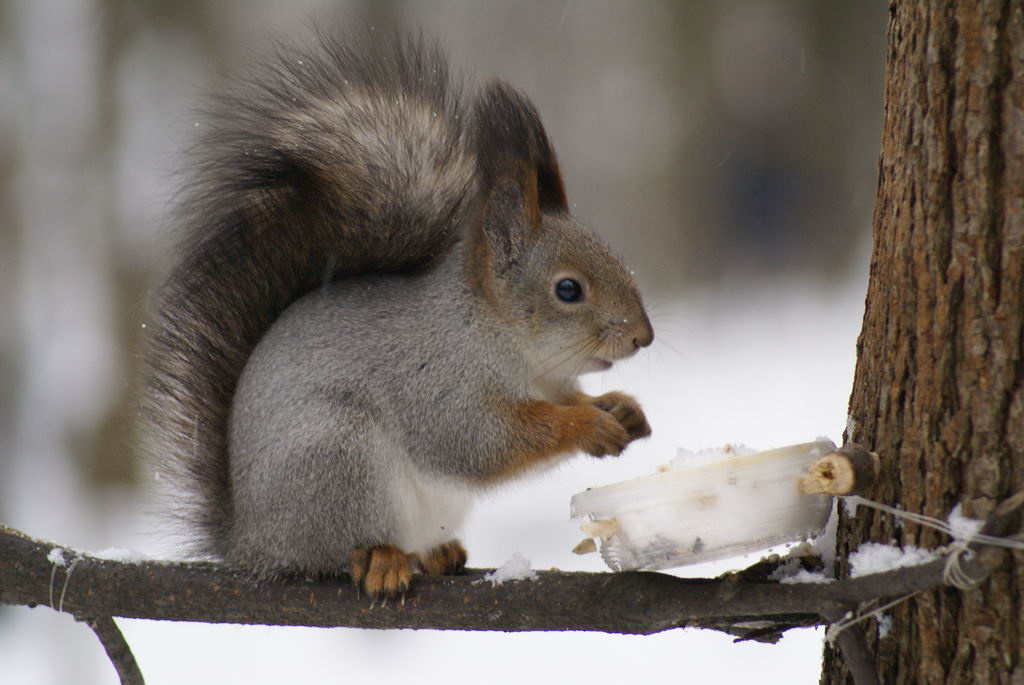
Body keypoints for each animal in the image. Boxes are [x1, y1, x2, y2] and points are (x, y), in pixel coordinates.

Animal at [145, 32, 653, 599]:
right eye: (568, 289)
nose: (644, 336)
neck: (499, 336)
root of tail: (251, 544)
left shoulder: (551, 383)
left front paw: (618, 406)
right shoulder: (438, 385)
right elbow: (482, 442)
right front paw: (588, 424)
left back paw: (435, 553)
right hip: (340, 456)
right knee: (337, 550)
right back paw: (381, 559)